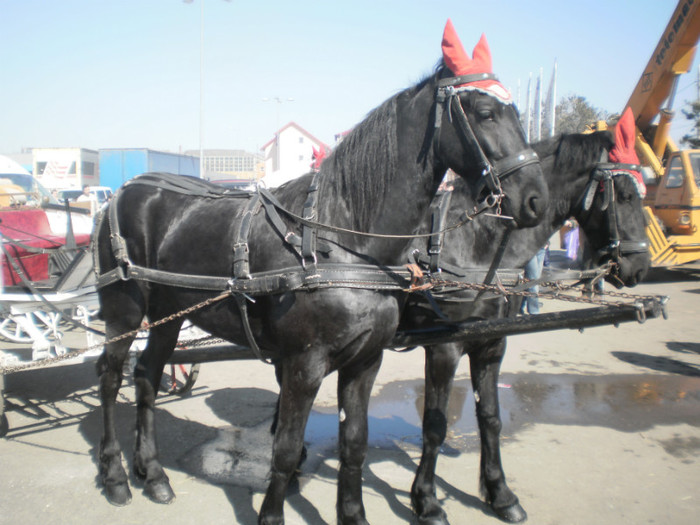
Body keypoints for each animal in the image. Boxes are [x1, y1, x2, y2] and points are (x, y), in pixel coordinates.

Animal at [94, 25, 552, 524]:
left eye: (517, 112)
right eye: (485, 112)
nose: (535, 199)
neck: (342, 240)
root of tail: (126, 190)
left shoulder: (366, 362)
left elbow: (354, 443)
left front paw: (353, 513)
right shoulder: (304, 364)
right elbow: (286, 448)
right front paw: (272, 514)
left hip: (168, 316)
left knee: (147, 376)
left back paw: (153, 472)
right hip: (123, 313)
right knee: (111, 377)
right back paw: (116, 475)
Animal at [404, 125, 652, 520]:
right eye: (626, 195)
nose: (640, 267)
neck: (474, 241)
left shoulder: (491, 344)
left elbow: (490, 417)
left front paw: (500, 493)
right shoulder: (444, 347)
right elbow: (434, 425)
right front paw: (426, 500)